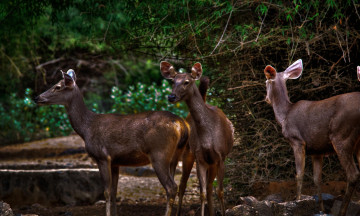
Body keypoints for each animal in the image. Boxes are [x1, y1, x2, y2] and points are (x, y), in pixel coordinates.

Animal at [34, 69, 190, 216]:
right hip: (176, 154)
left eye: (58, 86)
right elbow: (114, 192)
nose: (37, 97)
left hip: (159, 153)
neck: (86, 129)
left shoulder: (102, 156)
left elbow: (107, 192)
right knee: (178, 185)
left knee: (171, 187)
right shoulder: (115, 161)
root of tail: (181, 124)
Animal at [160, 61, 233, 215]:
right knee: (182, 185)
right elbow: (202, 193)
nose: (171, 97)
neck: (208, 138)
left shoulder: (221, 157)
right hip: (187, 152)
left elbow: (220, 191)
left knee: (210, 186)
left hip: (212, 162)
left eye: (186, 82)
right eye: (173, 81)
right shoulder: (200, 158)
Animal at [262, 58, 360, 216]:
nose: (266, 99)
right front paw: (321, 209)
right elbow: (317, 179)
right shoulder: (317, 150)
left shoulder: (297, 141)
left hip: (341, 136)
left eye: (266, 82)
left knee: (353, 174)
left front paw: (297, 200)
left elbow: (299, 173)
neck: (284, 116)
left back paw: (342, 211)